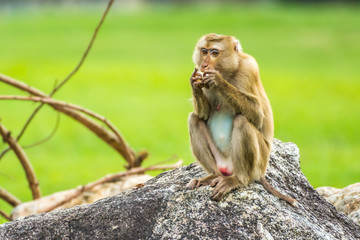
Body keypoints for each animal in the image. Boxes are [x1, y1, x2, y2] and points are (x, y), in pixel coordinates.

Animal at [187, 33, 296, 206]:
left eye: (214, 53)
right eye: (204, 51)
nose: (204, 65)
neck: (229, 71)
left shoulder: (249, 69)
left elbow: (257, 116)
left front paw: (218, 81)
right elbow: (203, 115)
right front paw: (194, 83)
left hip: (258, 163)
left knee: (242, 121)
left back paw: (239, 180)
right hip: (220, 161)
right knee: (194, 119)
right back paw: (213, 175)